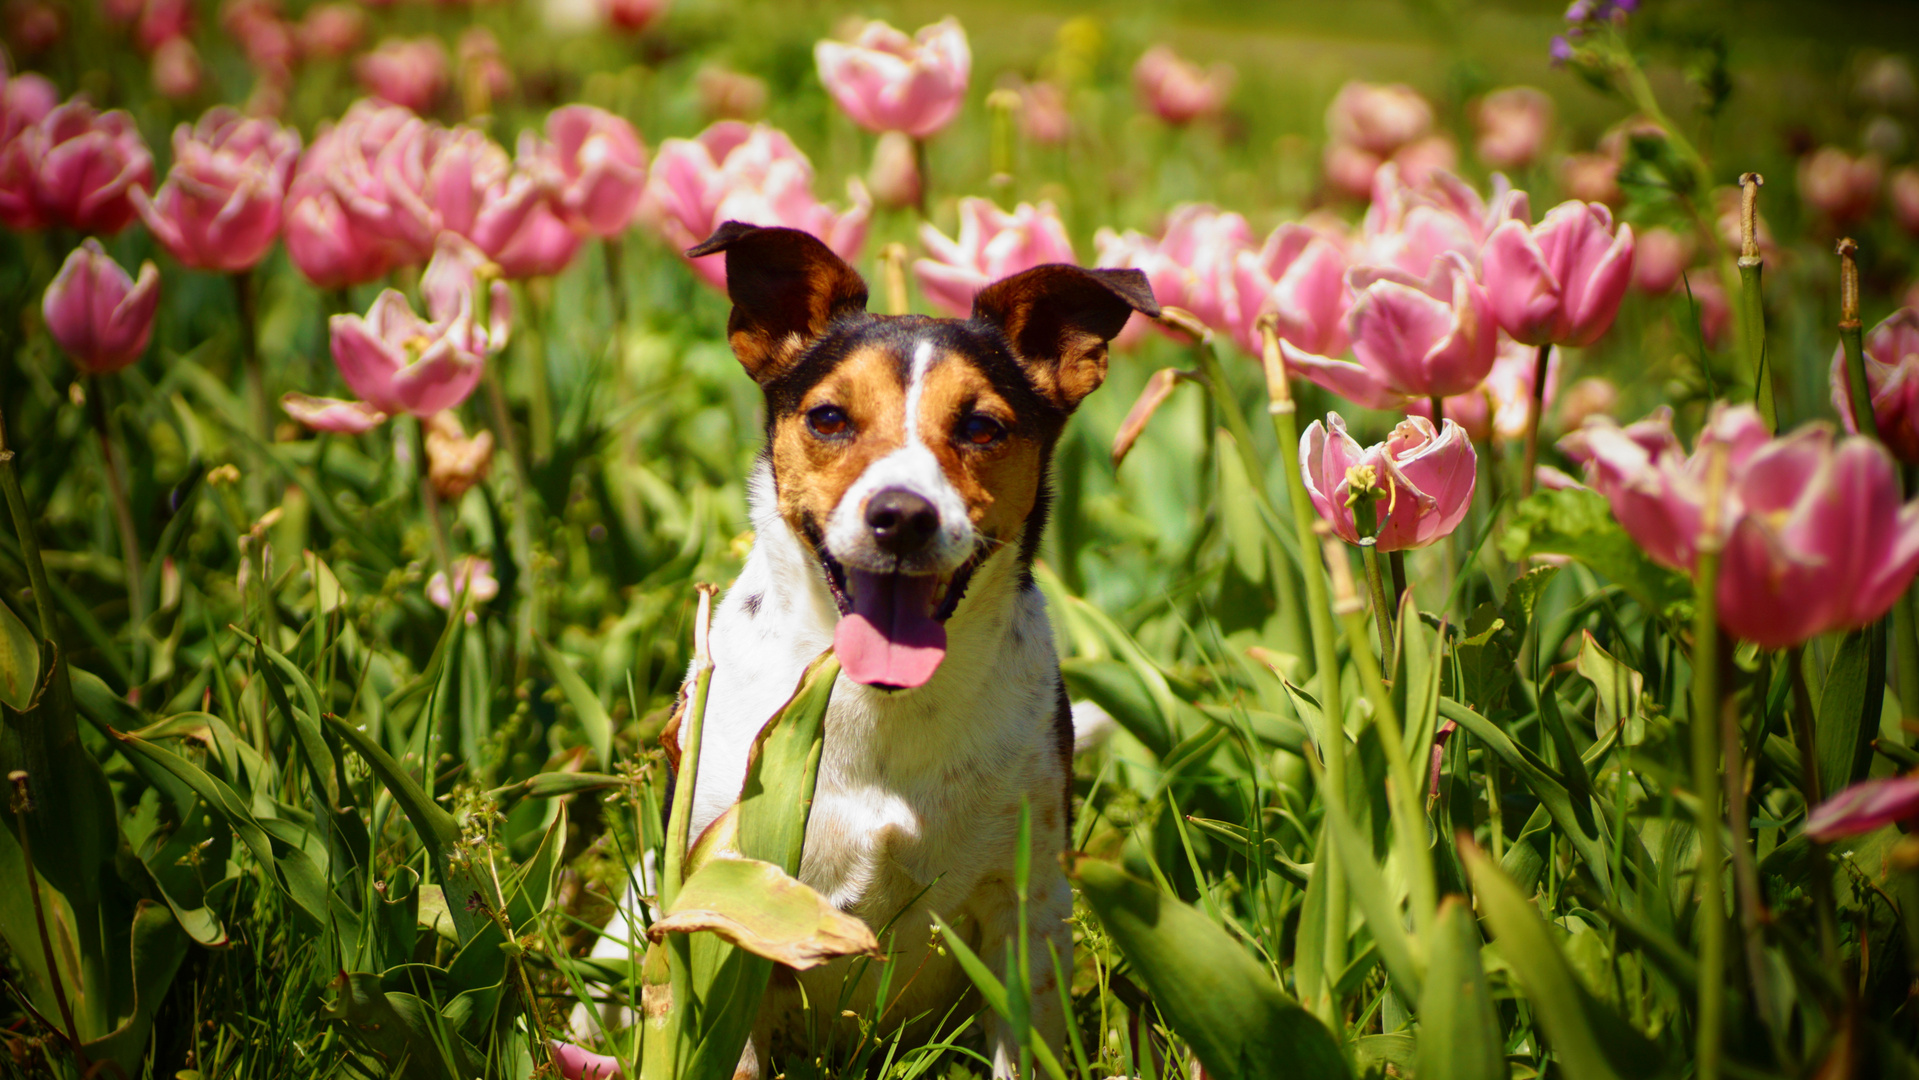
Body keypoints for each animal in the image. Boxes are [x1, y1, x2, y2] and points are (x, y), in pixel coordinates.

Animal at [583, 224, 1151, 1074]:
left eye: (981, 426)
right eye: (827, 418)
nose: (902, 516)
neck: (876, 704)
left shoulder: (1027, 911)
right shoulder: (728, 902)